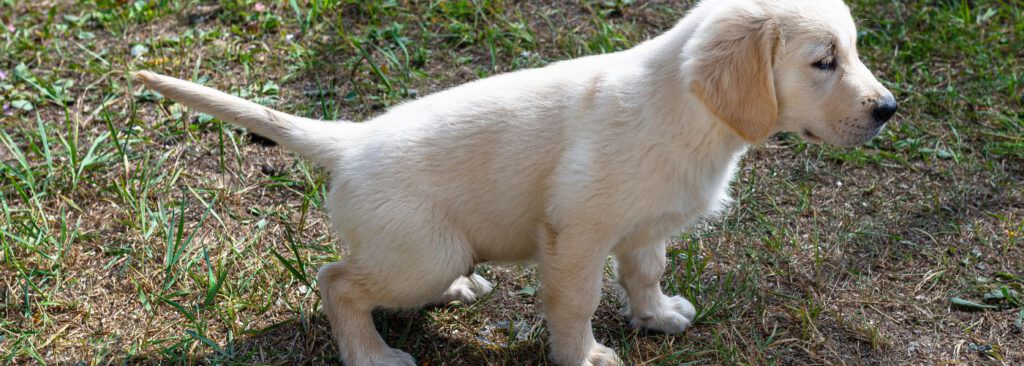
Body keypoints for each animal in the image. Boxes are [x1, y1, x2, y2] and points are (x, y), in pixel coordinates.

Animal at [138, 0, 897, 362]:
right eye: (823, 61)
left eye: (854, 51)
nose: (888, 109)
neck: (688, 114)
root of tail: (350, 141)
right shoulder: (577, 235)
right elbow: (576, 303)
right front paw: (583, 356)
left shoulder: (644, 229)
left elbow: (644, 274)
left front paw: (656, 315)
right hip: (423, 250)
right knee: (337, 281)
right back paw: (372, 355)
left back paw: (458, 289)